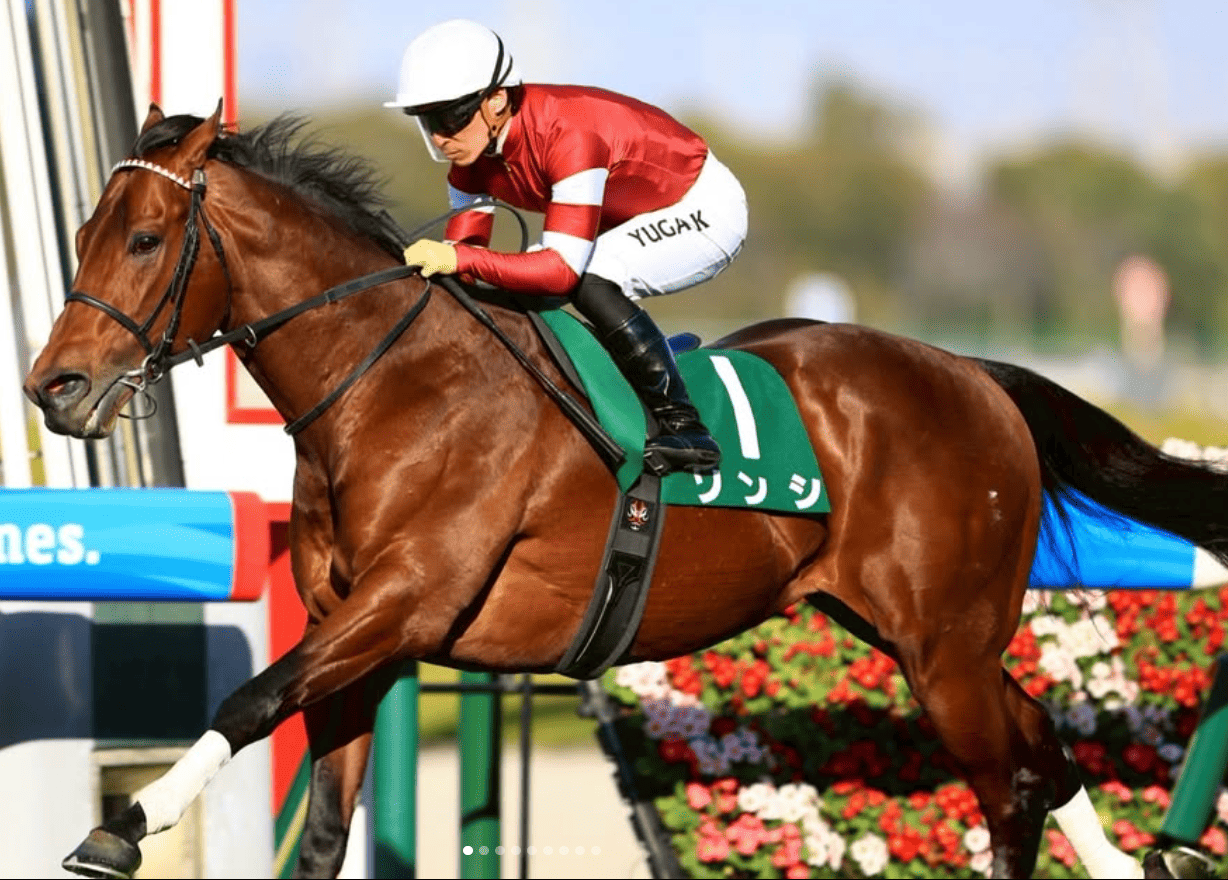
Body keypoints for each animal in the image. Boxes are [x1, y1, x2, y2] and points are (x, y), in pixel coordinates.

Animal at [23, 102, 1228, 880]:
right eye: (78, 233)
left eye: (144, 237)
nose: (53, 388)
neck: (393, 385)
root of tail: (975, 373)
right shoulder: (354, 643)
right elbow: (317, 819)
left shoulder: (405, 600)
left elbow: (243, 700)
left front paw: (119, 827)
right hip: (926, 635)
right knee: (1041, 749)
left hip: (946, 648)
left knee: (1009, 784)